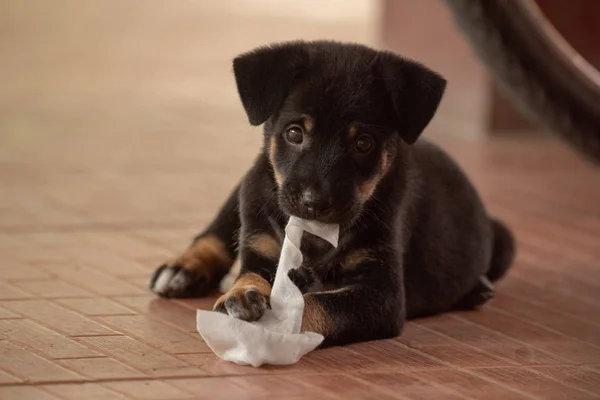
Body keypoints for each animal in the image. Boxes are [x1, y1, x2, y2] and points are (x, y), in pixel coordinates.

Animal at [148, 40, 512, 346]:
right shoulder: (260, 246)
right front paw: (241, 296)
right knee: (215, 231)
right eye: (295, 133)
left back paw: (478, 289)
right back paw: (183, 269)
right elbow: (249, 273)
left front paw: (277, 321)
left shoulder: (381, 293)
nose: (314, 203)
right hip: (245, 189)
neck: (314, 236)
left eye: (363, 143)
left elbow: (316, 304)